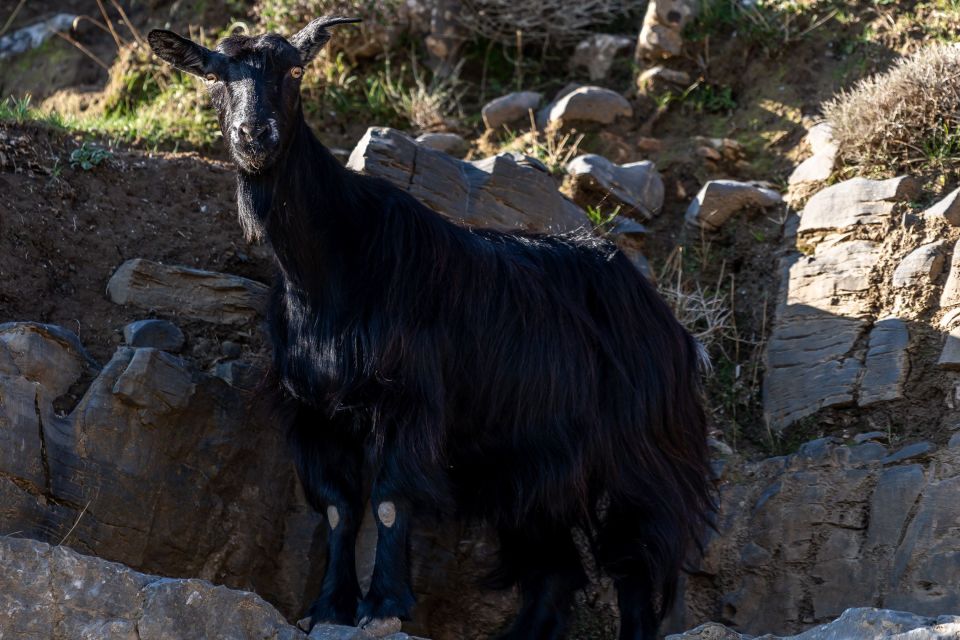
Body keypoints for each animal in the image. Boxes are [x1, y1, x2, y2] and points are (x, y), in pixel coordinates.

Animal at [150, 20, 712, 640]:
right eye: (214, 78)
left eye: (295, 69)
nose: (255, 136)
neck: (332, 266)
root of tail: (666, 321)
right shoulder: (316, 410)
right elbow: (338, 509)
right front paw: (329, 606)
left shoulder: (407, 398)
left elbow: (390, 501)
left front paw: (384, 604)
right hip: (529, 460)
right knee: (553, 562)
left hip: (638, 450)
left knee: (635, 554)